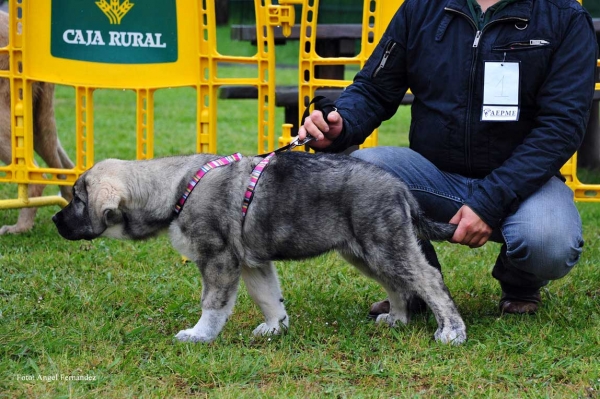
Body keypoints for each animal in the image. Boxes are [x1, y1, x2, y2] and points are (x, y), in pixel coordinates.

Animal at [52, 152, 468, 346]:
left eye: (77, 200)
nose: (56, 221)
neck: (174, 188)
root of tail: (401, 187)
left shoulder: (218, 260)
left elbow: (213, 303)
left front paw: (200, 335)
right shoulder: (251, 262)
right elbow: (268, 296)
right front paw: (274, 328)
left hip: (385, 244)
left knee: (428, 279)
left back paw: (451, 331)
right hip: (365, 251)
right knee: (398, 284)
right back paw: (397, 318)